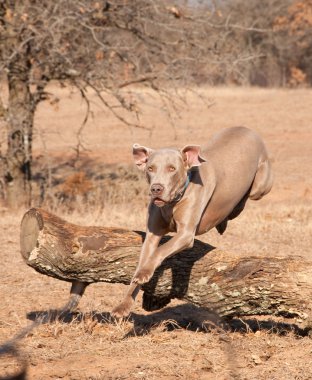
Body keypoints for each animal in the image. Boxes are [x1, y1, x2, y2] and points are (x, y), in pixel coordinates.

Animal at [111, 127, 270, 318]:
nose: (156, 188)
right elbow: (144, 260)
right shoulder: (152, 235)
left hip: (260, 185)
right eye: (150, 168)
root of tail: (245, 128)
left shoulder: (185, 234)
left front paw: (144, 274)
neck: (171, 203)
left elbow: (160, 251)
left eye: (172, 168)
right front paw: (124, 305)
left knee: (246, 198)